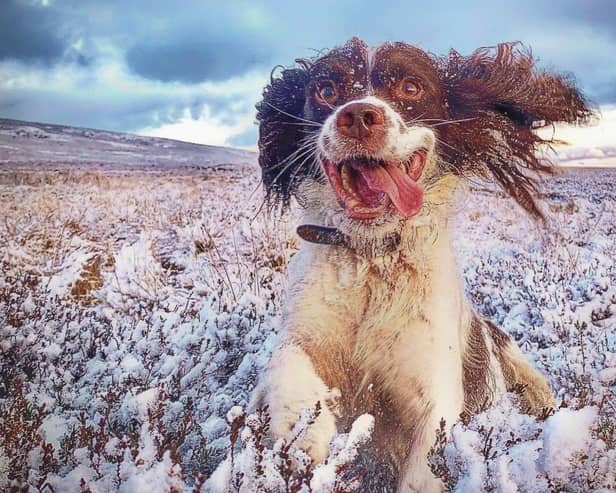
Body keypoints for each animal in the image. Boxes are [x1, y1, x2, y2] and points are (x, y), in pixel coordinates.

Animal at [249, 39, 592, 492]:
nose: (359, 117)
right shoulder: (305, 333)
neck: (373, 259)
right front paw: (304, 427)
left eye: (411, 87)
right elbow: (285, 360)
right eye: (325, 89)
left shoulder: (432, 400)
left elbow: (421, 468)